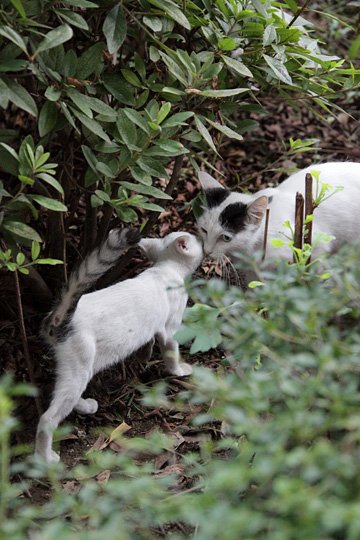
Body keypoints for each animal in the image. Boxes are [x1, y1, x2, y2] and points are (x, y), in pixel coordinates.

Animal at [35, 230, 204, 462]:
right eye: (197, 238)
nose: (203, 238)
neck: (165, 268)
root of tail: (59, 318)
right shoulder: (170, 329)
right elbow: (171, 354)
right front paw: (179, 371)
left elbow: (150, 341)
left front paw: (144, 356)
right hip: (79, 367)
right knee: (48, 417)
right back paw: (45, 458)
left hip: (76, 370)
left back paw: (87, 406)